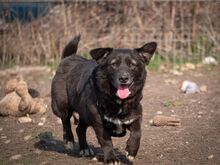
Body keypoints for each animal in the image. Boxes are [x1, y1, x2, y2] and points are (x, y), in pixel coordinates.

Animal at [51, 35, 156, 164]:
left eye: (133, 64)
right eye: (114, 64)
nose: (124, 78)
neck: (118, 102)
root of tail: (68, 57)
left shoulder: (135, 116)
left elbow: (137, 133)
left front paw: (131, 151)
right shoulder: (99, 123)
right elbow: (106, 142)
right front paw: (111, 158)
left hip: (85, 114)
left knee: (79, 129)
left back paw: (84, 148)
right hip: (62, 105)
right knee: (65, 121)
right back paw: (69, 140)